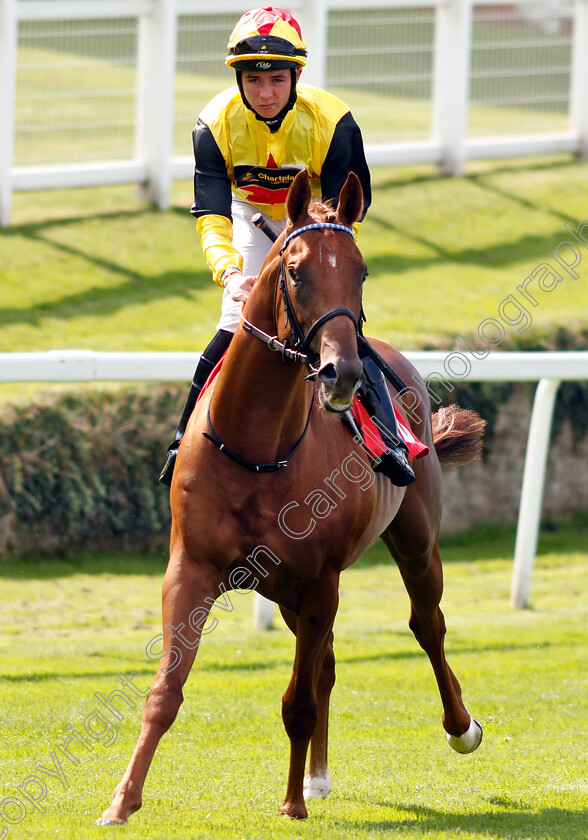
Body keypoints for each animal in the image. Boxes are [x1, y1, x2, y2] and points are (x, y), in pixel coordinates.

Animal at [96, 169, 482, 820]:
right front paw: (122, 802)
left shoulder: (320, 577)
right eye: (296, 270)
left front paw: (292, 804)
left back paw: (459, 726)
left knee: (426, 624)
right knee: (326, 660)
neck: (258, 443)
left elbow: (297, 701)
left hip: (414, 543)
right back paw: (318, 776)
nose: (341, 371)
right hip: (281, 590)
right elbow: (165, 691)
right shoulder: (192, 567)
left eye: (361, 271)